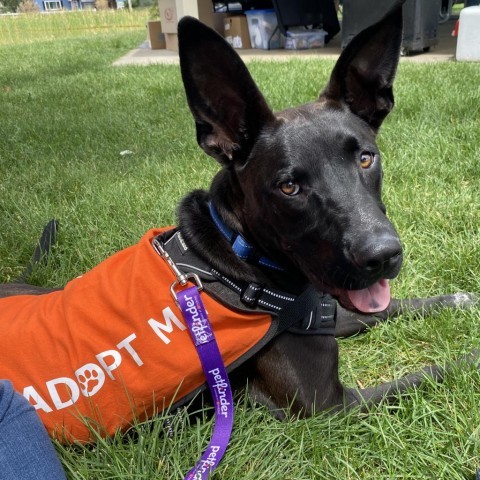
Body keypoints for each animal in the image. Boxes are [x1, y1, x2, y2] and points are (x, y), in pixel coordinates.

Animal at [1, 3, 476, 426]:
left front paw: (457, 300)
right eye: (288, 186)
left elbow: (384, 308)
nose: (383, 256)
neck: (237, 257)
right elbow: (428, 374)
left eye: (365, 158)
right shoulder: (330, 406)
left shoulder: (317, 316)